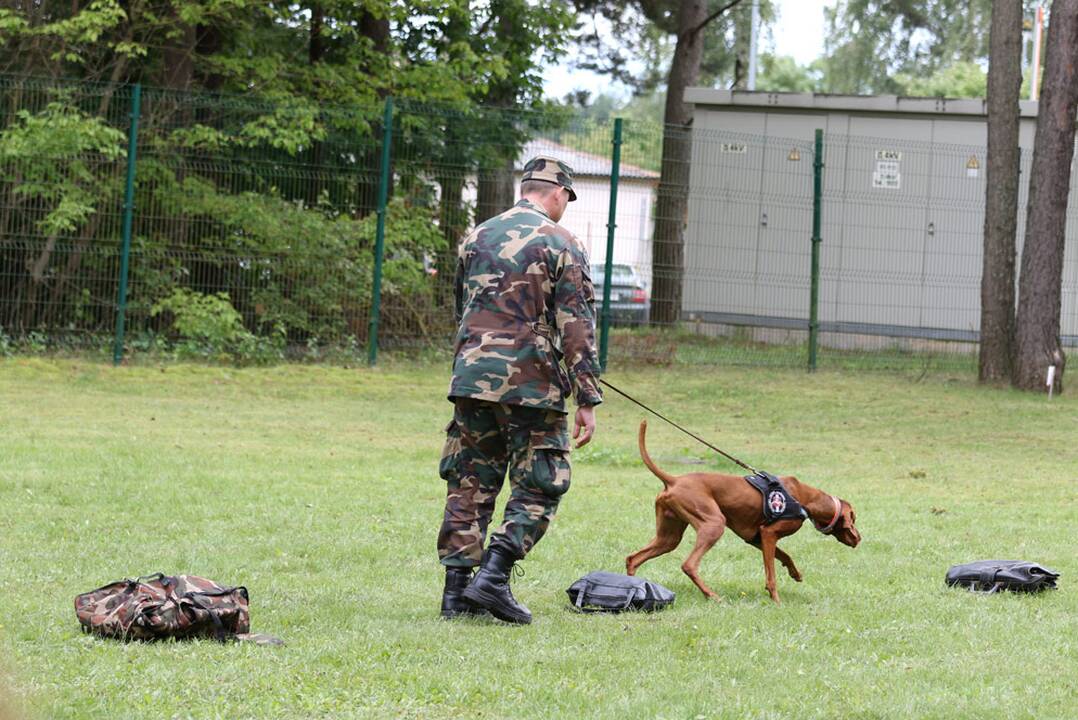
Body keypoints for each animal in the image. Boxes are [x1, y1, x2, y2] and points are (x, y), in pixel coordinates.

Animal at [625, 418, 858, 603]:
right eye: (854, 519)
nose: (859, 538)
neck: (805, 497)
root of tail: (673, 481)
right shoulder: (769, 534)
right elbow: (771, 575)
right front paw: (776, 600)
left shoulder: (757, 538)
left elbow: (786, 556)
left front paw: (795, 573)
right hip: (714, 524)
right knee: (689, 565)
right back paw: (712, 596)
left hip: (668, 537)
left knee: (633, 558)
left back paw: (635, 589)